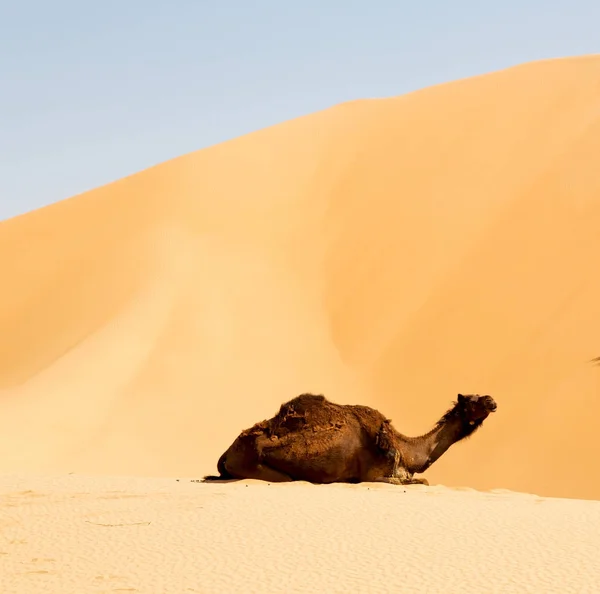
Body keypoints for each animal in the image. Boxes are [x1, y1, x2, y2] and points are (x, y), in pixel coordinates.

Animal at [203, 390, 496, 484]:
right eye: (472, 400)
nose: (492, 401)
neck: (407, 450)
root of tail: (226, 453)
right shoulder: (376, 476)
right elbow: (420, 481)